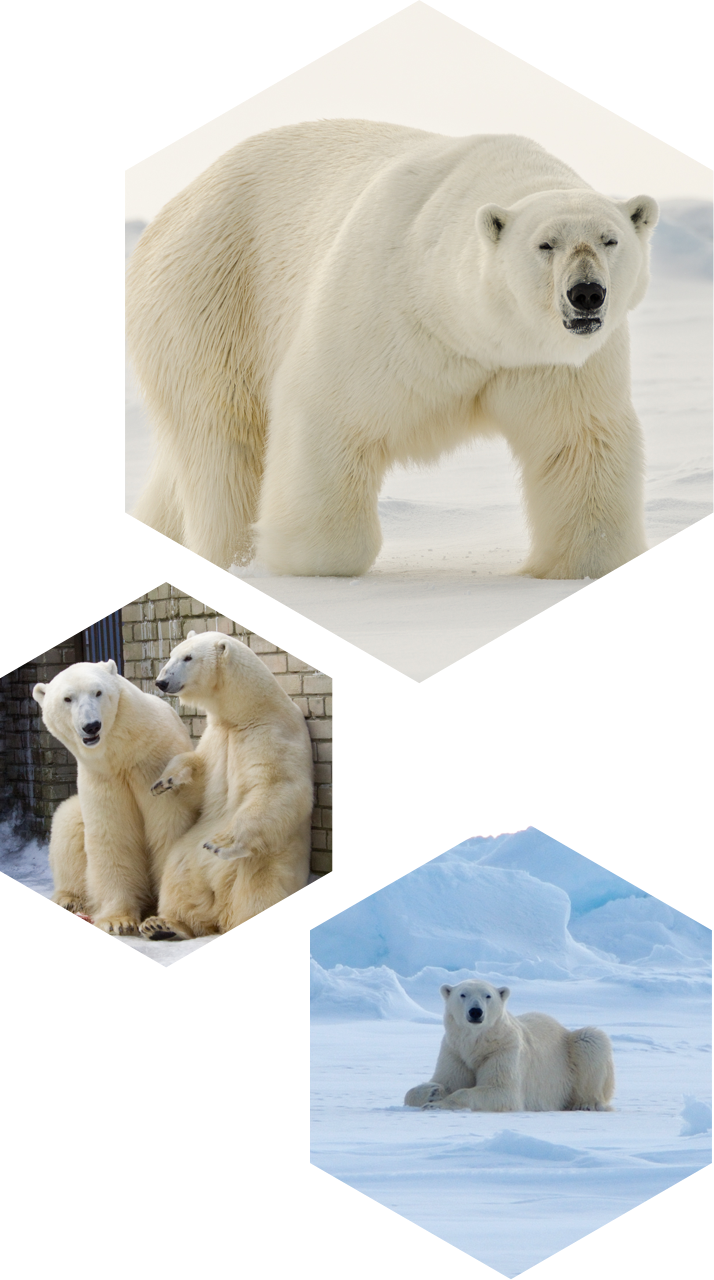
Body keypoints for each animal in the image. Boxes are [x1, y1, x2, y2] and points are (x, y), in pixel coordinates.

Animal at [33, 661, 202, 935]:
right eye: (67, 698)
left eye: (98, 692)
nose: (91, 726)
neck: (122, 753)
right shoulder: (102, 777)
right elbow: (111, 833)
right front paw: (118, 920)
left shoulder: (155, 764)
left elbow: (170, 827)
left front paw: (167, 919)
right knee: (68, 823)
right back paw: (70, 899)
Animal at [126, 119, 658, 580]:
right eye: (545, 244)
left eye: (609, 239)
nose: (586, 293)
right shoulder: (386, 310)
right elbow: (330, 415)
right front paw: (304, 558)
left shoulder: (550, 363)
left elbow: (578, 440)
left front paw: (574, 564)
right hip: (212, 297)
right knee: (224, 441)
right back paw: (239, 553)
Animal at [138, 630, 314, 940]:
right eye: (173, 654)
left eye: (188, 657)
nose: (161, 681)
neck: (247, 713)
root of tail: (220, 910)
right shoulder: (218, 737)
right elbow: (201, 775)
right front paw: (164, 780)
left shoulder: (272, 735)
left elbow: (278, 788)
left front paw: (223, 841)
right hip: (188, 854)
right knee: (178, 880)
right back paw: (164, 926)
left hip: (268, 860)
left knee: (258, 891)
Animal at [404, 980, 615, 1112]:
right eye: (462, 994)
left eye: (488, 996)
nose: (476, 1011)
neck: (477, 1044)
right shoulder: (455, 1051)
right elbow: (441, 1081)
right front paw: (433, 1091)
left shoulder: (503, 1050)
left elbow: (502, 1091)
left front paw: (436, 1104)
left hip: (571, 1051)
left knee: (591, 1040)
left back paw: (586, 1104)